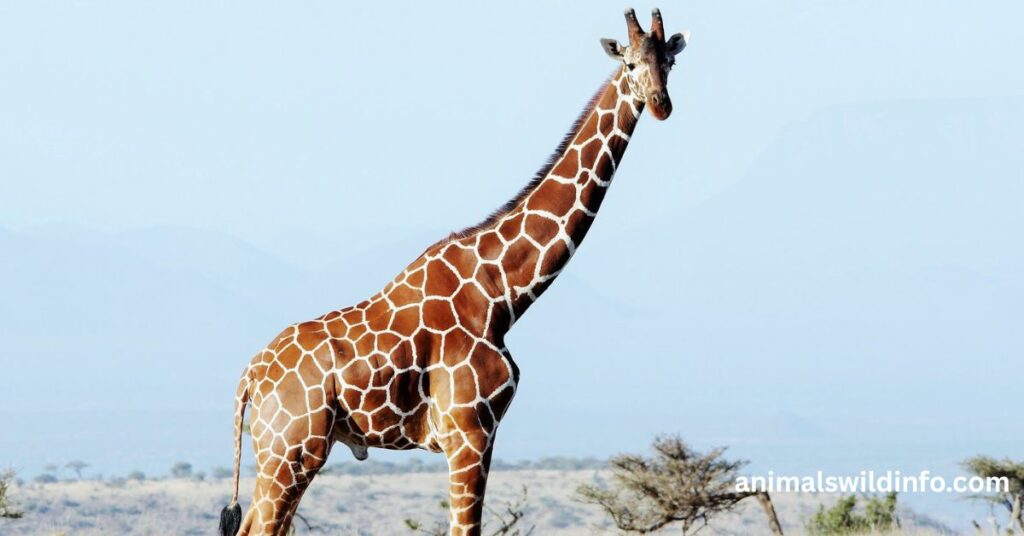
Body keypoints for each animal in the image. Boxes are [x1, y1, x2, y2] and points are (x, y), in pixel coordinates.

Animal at [220, 8, 688, 536]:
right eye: (629, 64)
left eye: (668, 61)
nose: (660, 104)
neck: (503, 293)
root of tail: (250, 376)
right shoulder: (470, 430)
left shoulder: (474, 433)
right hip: (291, 449)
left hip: (283, 450)